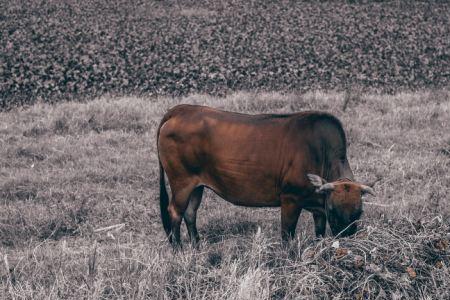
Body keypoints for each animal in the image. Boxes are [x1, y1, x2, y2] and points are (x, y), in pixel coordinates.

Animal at [156, 104, 374, 247]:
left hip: (196, 185)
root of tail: (182, 110)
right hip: (181, 182)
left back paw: (196, 246)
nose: (347, 244)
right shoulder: (290, 199)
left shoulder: (318, 208)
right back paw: (179, 250)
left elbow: (319, 233)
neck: (320, 152)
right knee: (175, 212)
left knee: (190, 213)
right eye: (333, 210)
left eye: (359, 212)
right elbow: (287, 236)